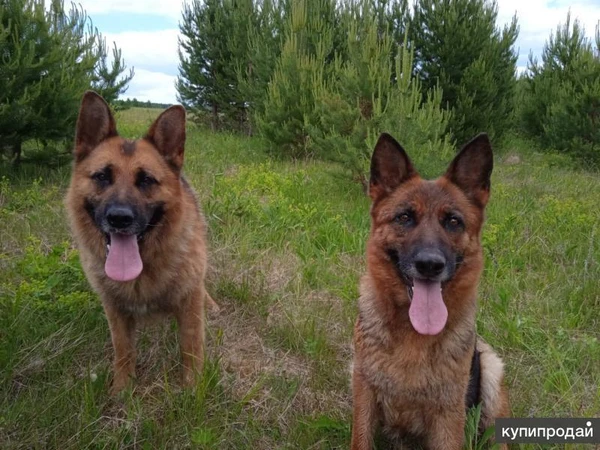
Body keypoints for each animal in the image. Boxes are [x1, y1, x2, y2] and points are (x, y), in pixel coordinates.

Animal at [66, 91, 216, 394]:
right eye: (102, 176)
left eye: (146, 180)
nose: (119, 218)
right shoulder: (115, 311)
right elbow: (123, 350)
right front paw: (123, 389)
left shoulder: (190, 301)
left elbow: (191, 346)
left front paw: (193, 389)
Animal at [352, 132, 510, 448]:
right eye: (404, 218)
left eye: (453, 221)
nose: (429, 264)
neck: (413, 336)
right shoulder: (364, 392)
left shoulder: (447, 417)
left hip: (491, 370)